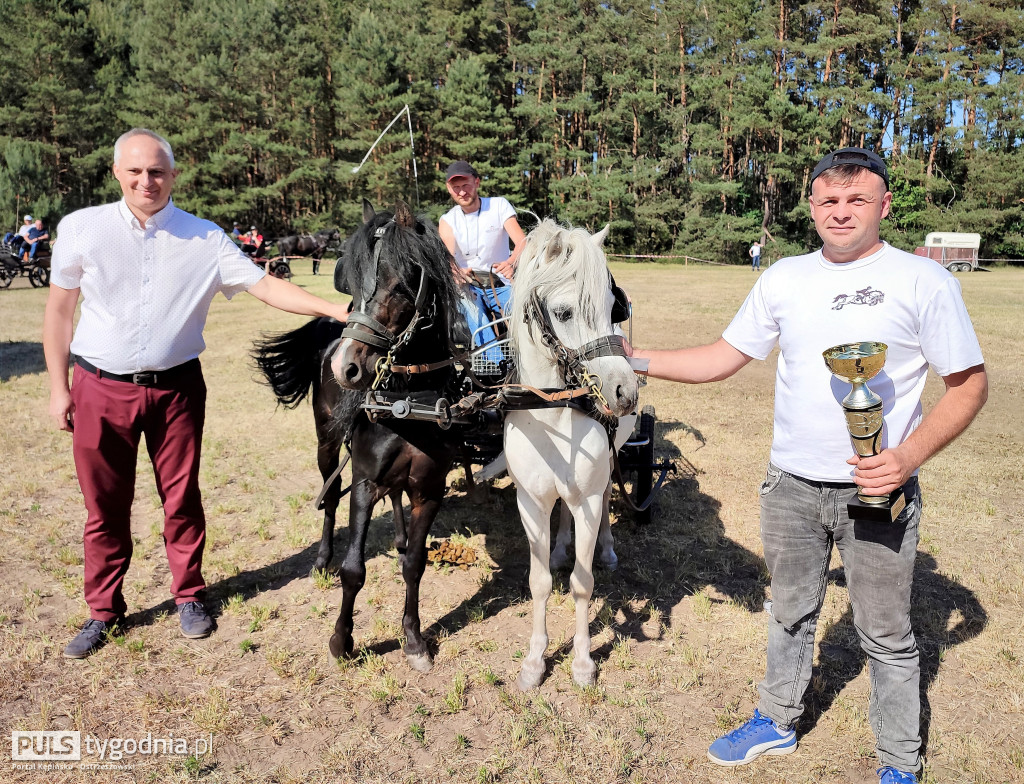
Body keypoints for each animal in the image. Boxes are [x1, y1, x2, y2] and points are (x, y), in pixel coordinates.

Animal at [253, 199, 466, 671]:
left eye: (401, 283)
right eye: (351, 280)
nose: (346, 368)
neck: (408, 402)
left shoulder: (431, 487)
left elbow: (416, 565)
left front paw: (414, 640)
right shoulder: (365, 482)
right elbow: (354, 570)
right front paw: (343, 640)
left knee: (396, 497)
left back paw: (400, 539)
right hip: (327, 444)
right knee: (331, 497)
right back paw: (322, 559)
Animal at [505, 218, 638, 691]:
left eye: (613, 307)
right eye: (563, 313)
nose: (625, 391)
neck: (554, 413)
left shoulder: (591, 499)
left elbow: (583, 583)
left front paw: (582, 661)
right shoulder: (529, 503)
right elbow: (539, 582)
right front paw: (533, 661)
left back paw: (608, 549)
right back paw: (561, 546)